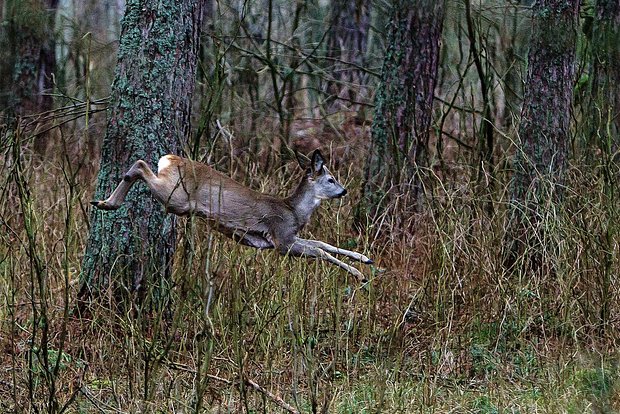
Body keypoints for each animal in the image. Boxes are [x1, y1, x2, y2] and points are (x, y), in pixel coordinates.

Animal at [91, 150, 372, 282]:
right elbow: (321, 251)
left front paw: (365, 259)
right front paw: (360, 275)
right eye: (331, 179)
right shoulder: (282, 239)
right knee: (140, 165)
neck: (293, 211)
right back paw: (108, 202)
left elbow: (323, 243)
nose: (344, 191)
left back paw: (103, 201)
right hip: (176, 198)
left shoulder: (287, 237)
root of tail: (169, 158)